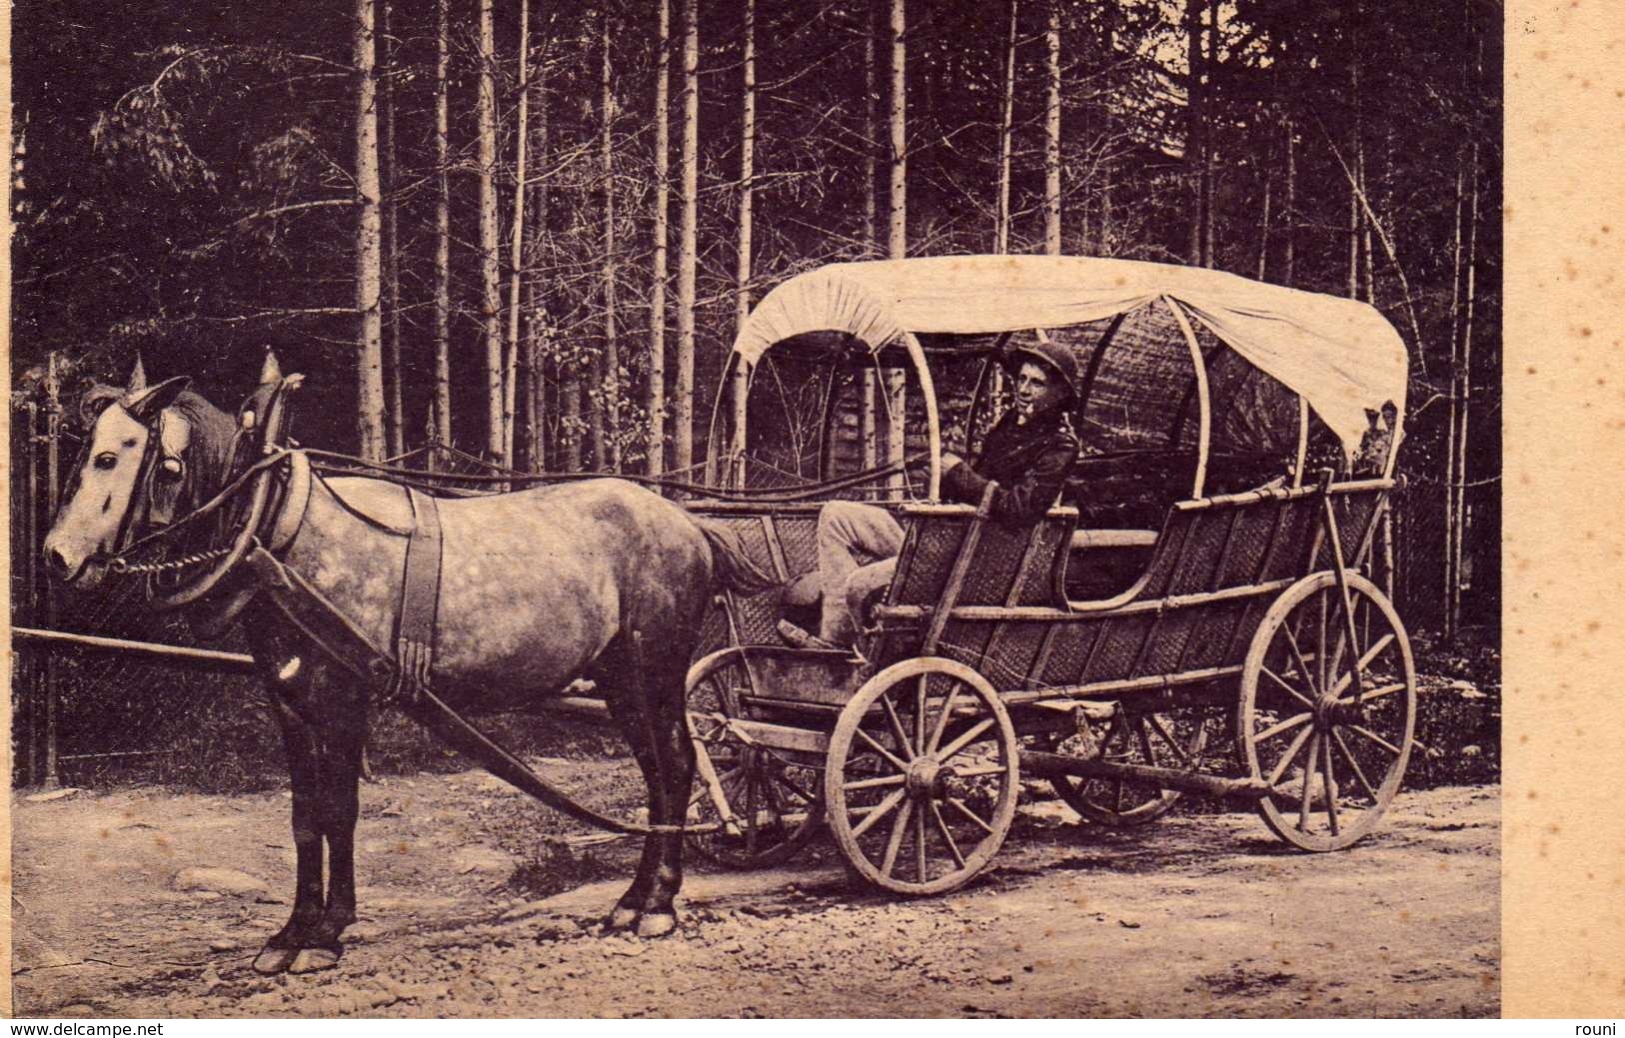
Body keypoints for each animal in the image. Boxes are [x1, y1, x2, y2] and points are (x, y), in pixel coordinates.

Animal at [38, 357, 773, 974]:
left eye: (108, 456)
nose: (55, 556)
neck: (276, 532)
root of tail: (688, 522)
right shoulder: (290, 702)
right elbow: (304, 817)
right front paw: (290, 934)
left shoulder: (342, 698)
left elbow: (338, 811)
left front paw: (325, 934)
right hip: (622, 683)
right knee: (657, 774)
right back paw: (633, 900)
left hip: (655, 674)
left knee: (676, 767)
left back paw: (658, 904)